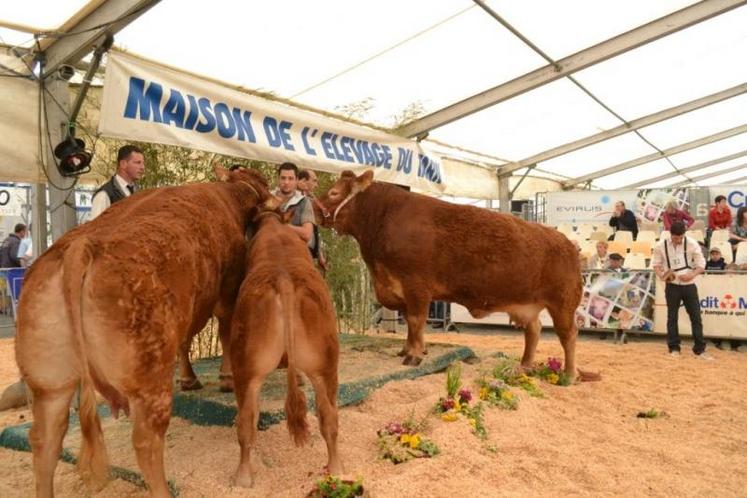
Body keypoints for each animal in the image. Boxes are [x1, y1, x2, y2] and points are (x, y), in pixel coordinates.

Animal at [14, 165, 276, 496]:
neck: (228, 195)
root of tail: (80, 246)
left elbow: (186, 340)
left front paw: (189, 379)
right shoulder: (226, 289)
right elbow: (224, 332)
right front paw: (226, 377)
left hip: (50, 383)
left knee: (45, 439)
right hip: (148, 378)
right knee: (145, 442)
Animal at [231, 209, 342, 486]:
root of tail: (283, 278)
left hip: (247, 366)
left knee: (246, 421)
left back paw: (242, 478)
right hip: (324, 364)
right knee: (329, 417)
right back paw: (337, 469)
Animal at [316, 169, 584, 376]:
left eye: (334, 193)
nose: (316, 211)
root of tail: (566, 242)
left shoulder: (416, 286)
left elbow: (416, 320)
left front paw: (414, 356)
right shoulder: (399, 290)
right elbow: (411, 324)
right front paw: (407, 350)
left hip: (563, 303)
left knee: (568, 335)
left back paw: (569, 375)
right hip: (528, 305)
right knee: (534, 330)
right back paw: (525, 366)